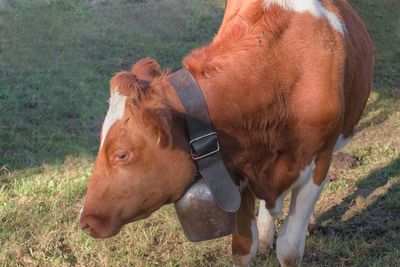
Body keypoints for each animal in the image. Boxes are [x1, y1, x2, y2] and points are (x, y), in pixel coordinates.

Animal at [79, 1, 374, 266]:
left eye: (121, 154)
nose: (84, 219)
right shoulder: (234, 171)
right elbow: (243, 248)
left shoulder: (318, 161)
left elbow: (290, 249)